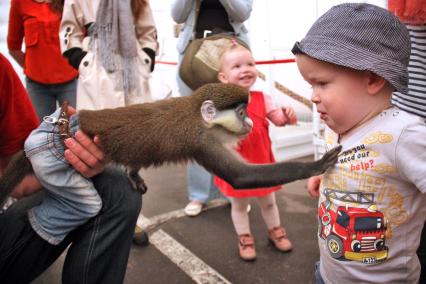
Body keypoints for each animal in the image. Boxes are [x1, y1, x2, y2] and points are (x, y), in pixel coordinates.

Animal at [0, 83, 340, 205]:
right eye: (242, 113)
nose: (251, 124)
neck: (196, 113)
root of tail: (77, 119)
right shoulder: (202, 142)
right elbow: (241, 177)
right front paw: (315, 165)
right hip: (53, 150)